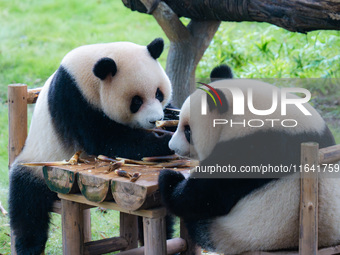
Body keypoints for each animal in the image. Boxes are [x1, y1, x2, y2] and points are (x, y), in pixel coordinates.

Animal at [8, 37, 175, 255]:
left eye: (159, 93)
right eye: (136, 101)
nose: (155, 120)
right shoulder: (74, 100)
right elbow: (108, 140)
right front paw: (165, 140)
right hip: (38, 163)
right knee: (27, 203)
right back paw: (28, 246)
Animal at [159, 66, 340, 255]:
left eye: (188, 131)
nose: (172, 147)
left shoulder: (255, 147)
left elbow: (208, 195)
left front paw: (169, 180)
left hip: (243, 233)